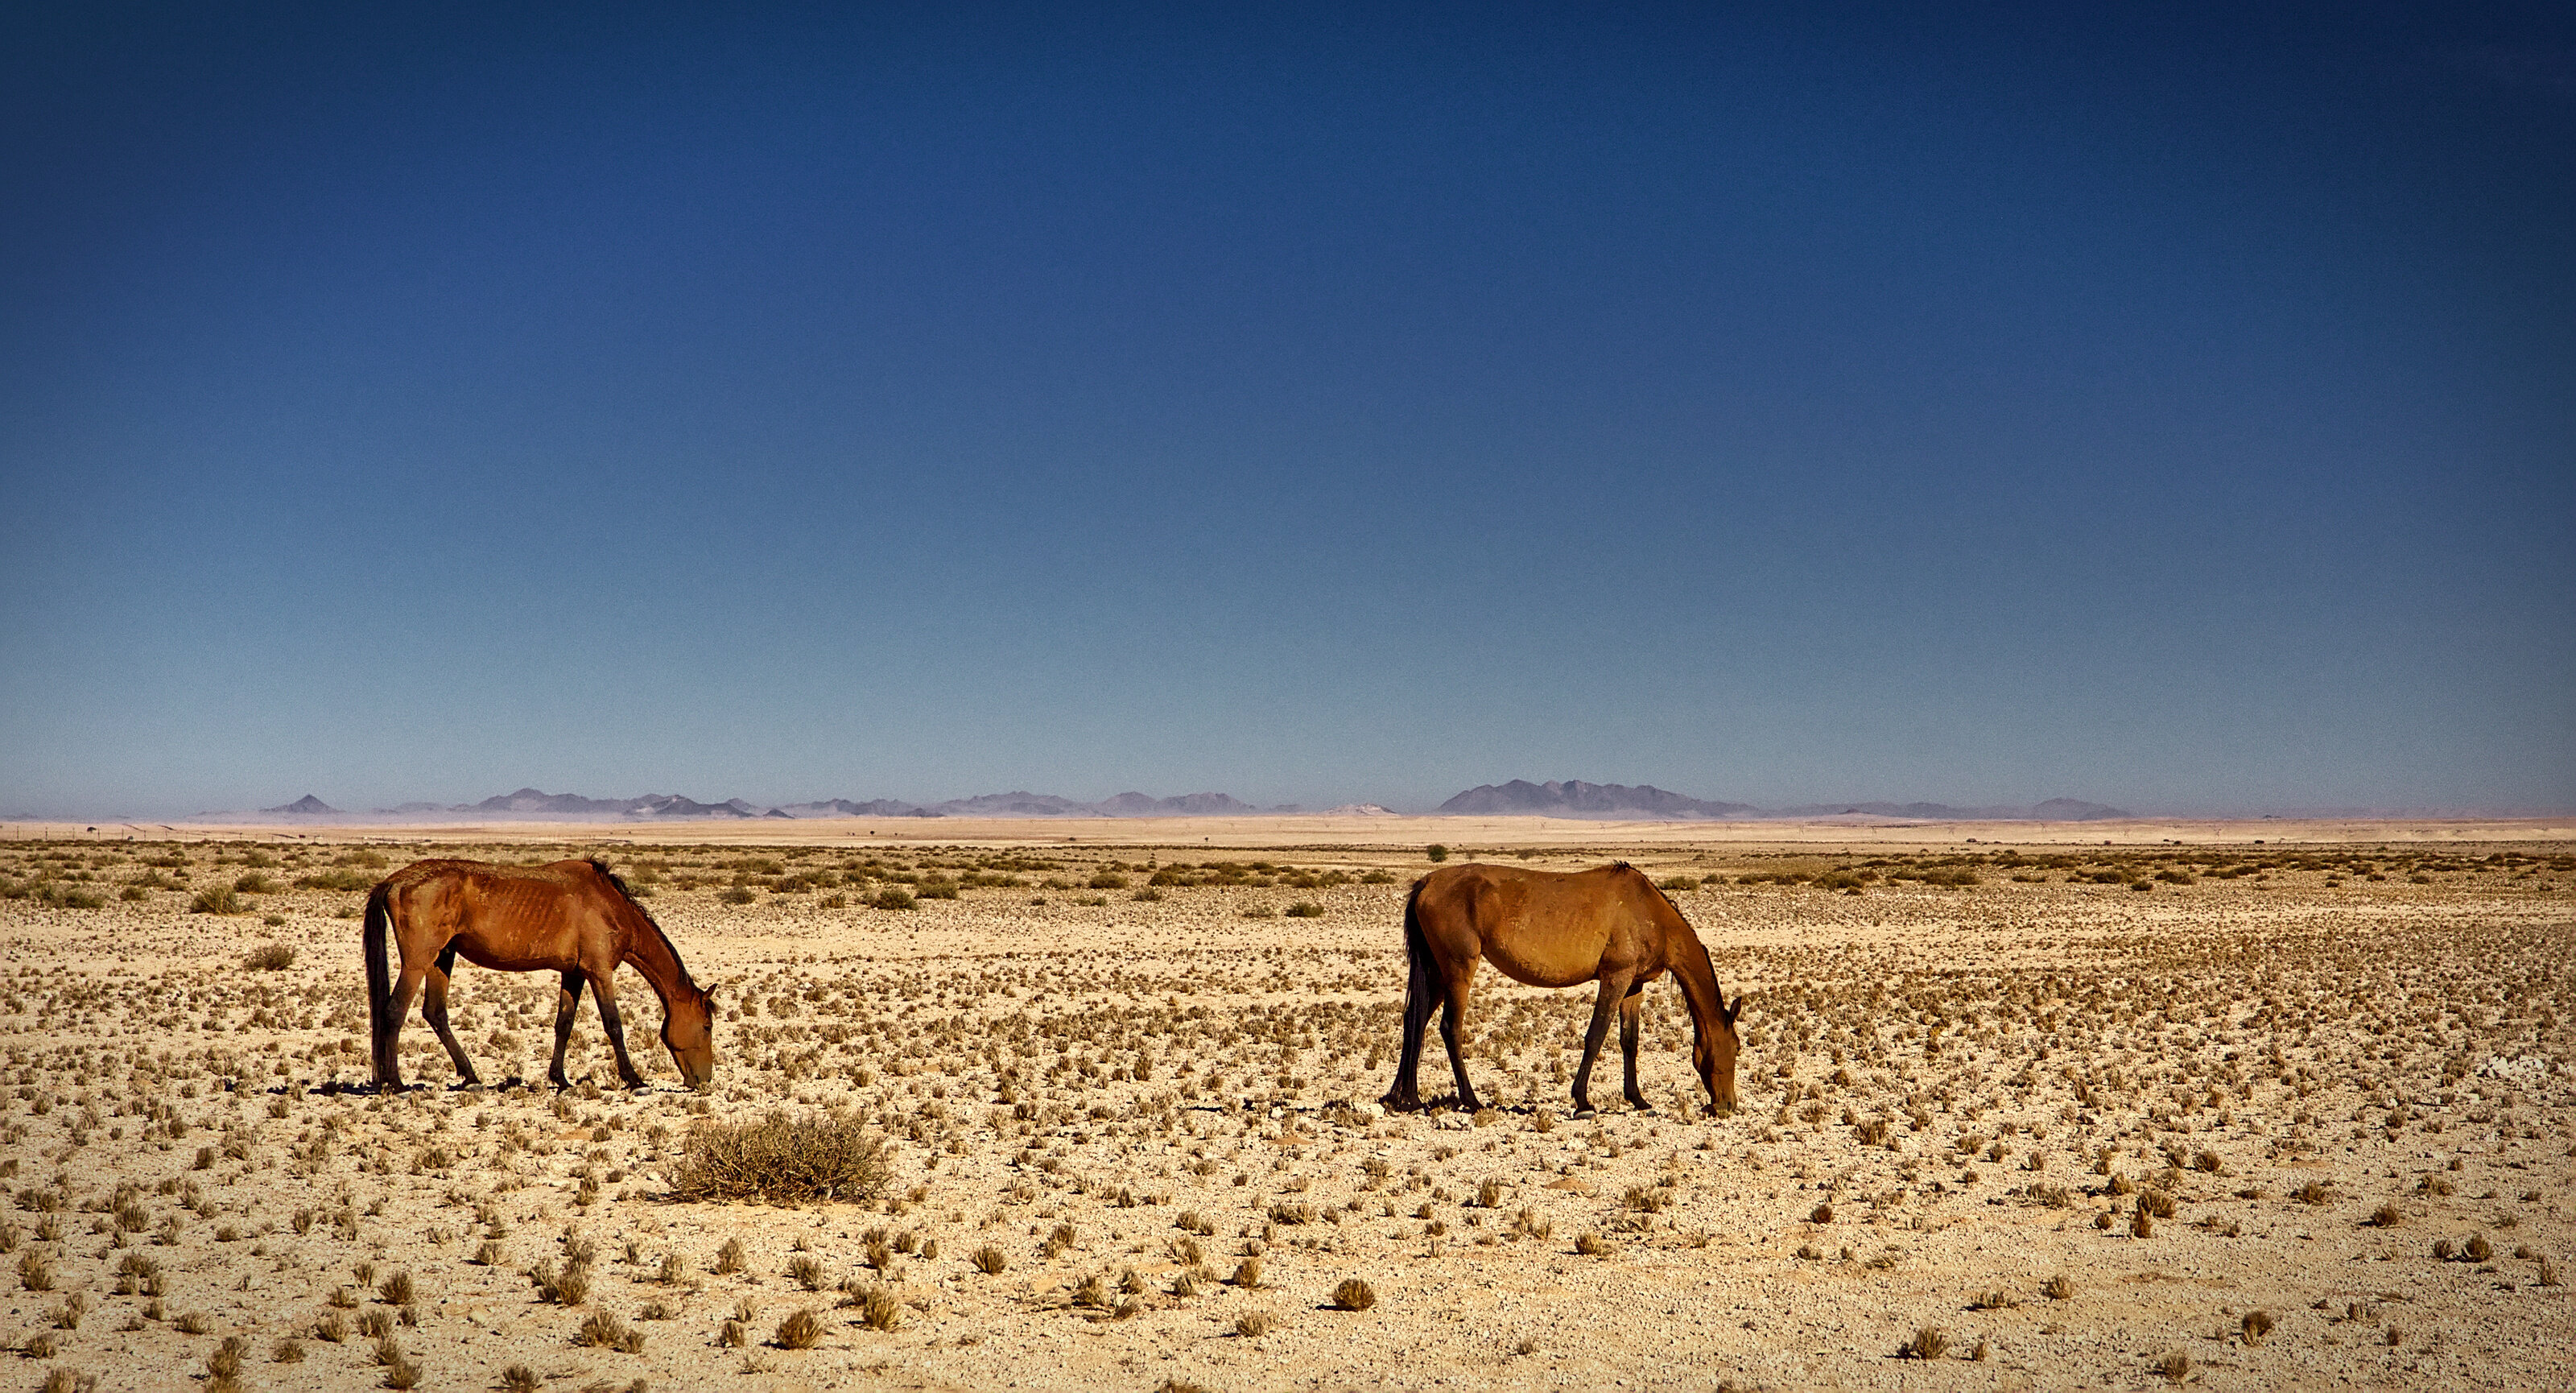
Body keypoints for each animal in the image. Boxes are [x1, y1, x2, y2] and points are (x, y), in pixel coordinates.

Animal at [364, 858, 715, 1091]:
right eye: (707, 1026)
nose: (704, 1080)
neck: (609, 906)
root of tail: (394, 881)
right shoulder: (600, 973)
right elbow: (614, 1025)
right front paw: (635, 1080)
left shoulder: (574, 974)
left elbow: (564, 1025)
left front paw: (561, 1079)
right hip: (418, 962)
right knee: (394, 1011)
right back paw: (396, 1084)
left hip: (442, 958)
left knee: (435, 1013)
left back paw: (471, 1078)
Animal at [1380, 862, 1741, 1118]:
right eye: (1737, 1048)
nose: (1727, 1105)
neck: (1649, 913)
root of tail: (1427, 883)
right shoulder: (1615, 977)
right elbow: (1596, 1035)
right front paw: (1582, 1101)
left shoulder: (1634, 985)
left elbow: (1629, 1041)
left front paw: (1638, 1099)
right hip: (1458, 969)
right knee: (1449, 1028)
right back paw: (1472, 1101)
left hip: (1436, 971)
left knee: (1414, 1021)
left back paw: (1408, 1099)